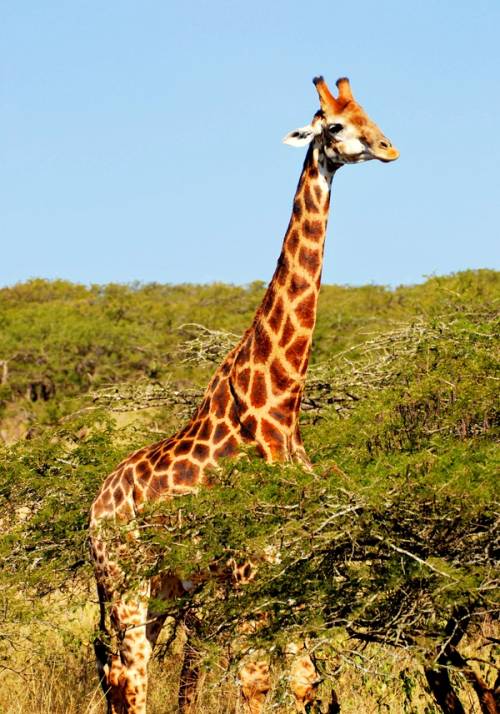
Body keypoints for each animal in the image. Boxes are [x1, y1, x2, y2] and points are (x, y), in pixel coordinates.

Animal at [89, 75, 399, 714]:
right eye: (335, 125)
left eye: (370, 112)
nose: (388, 148)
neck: (280, 404)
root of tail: (92, 510)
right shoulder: (247, 569)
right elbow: (253, 682)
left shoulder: (293, 567)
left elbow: (303, 679)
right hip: (123, 581)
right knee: (131, 675)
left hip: (160, 587)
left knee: (117, 673)